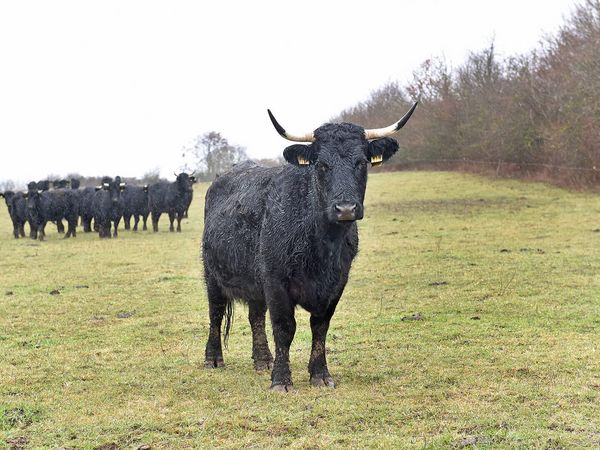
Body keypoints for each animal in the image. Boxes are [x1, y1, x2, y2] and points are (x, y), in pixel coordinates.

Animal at [202, 102, 418, 390]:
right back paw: (213, 358)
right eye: (322, 165)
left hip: (255, 280)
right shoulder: (276, 281)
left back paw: (263, 360)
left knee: (255, 316)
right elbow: (285, 327)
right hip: (213, 275)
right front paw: (281, 380)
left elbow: (320, 326)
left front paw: (320, 374)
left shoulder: (337, 282)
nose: (345, 208)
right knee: (215, 312)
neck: (322, 246)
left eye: (361, 163)